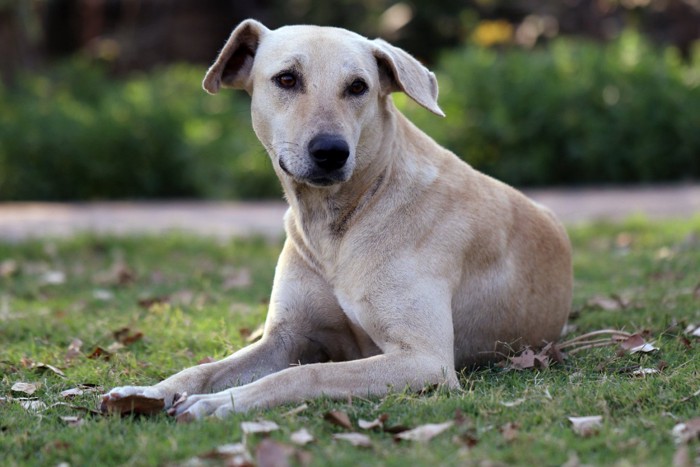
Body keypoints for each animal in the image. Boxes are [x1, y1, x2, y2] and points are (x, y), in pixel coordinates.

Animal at [102, 20, 576, 420]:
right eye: (287, 79)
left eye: (358, 86)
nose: (330, 151)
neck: (340, 221)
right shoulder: (284, 338)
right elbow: (205, 367)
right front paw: (150, 391)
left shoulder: (424, 360)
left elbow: (304, 373)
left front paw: (224, 402)